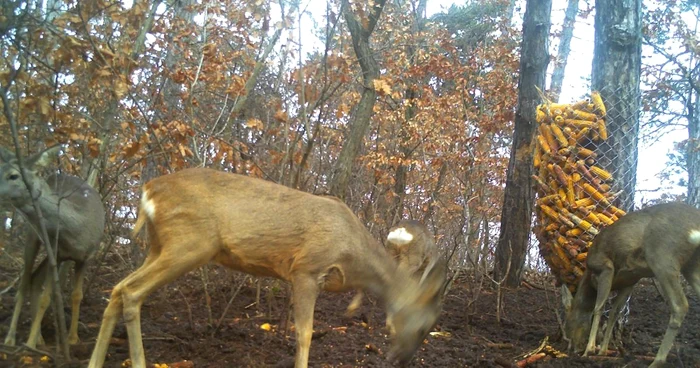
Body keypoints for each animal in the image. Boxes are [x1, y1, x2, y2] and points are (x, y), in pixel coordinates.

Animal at [0, 144, 106, 348]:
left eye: (13, 175)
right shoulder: (56, 254)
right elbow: (46, 297)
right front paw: (29, 343)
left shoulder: (85, 257)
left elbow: (77, 295)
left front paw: (72, 338)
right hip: (33, 236)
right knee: (24, 284)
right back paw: (11, 338)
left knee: (34, 279)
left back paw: (40, 337)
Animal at [89, 167, 448, 368]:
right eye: (424, 327)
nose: (400, 361)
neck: (354, 257)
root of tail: (148, 190)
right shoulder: (306, 269)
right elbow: (304, 334)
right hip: (189, 242)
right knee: (132, 290)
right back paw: (138, 362)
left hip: (159, 245)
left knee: (118, 288)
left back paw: (94, 361)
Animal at [564, 201, 700, 368]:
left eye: (568, 323)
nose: (572, 349)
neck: (589, 278)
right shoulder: (630, 282)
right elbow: (614, 313)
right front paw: (602, 350)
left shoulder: (605, 267)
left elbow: (599, 307)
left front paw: (589, 350)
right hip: (691, 265)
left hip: (662, 256)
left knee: (680, 305)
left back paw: (657, 361)